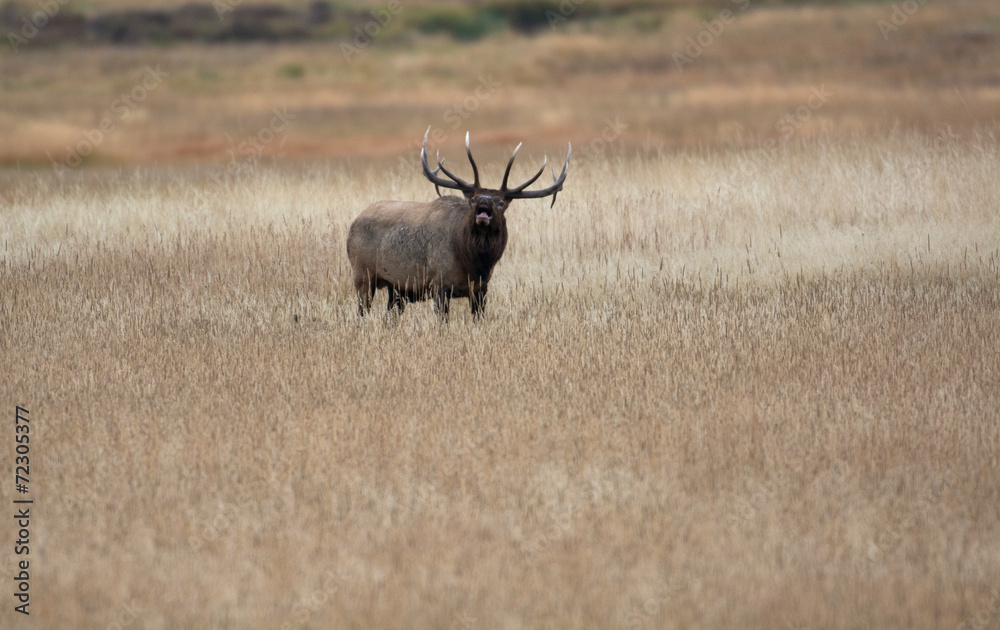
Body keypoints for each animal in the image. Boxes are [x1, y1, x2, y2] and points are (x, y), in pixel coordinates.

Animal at [346, 128, 571, 320]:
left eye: (501, 203)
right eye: (473, 199)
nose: (484, 201)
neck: (475, 263)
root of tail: (352, 225)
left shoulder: (481, 288)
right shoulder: (439, 284)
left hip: (395, 288)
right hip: (362, 274)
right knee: (362, 313)